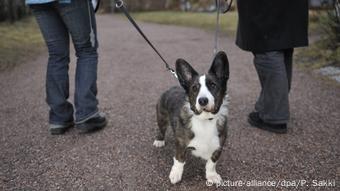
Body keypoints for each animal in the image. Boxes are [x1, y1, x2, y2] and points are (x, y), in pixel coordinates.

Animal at [153, 51, 228, 185]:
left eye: (213, 85)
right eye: (194, 88)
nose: (203, 101)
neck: (205, 119)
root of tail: (172, 87)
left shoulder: (218, 145)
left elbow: (212, 163)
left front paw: (212, 176)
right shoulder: (181, 145)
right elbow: (179, 161)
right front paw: (175, 175)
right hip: (161, 117)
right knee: (161, 128)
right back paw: (159, 140)